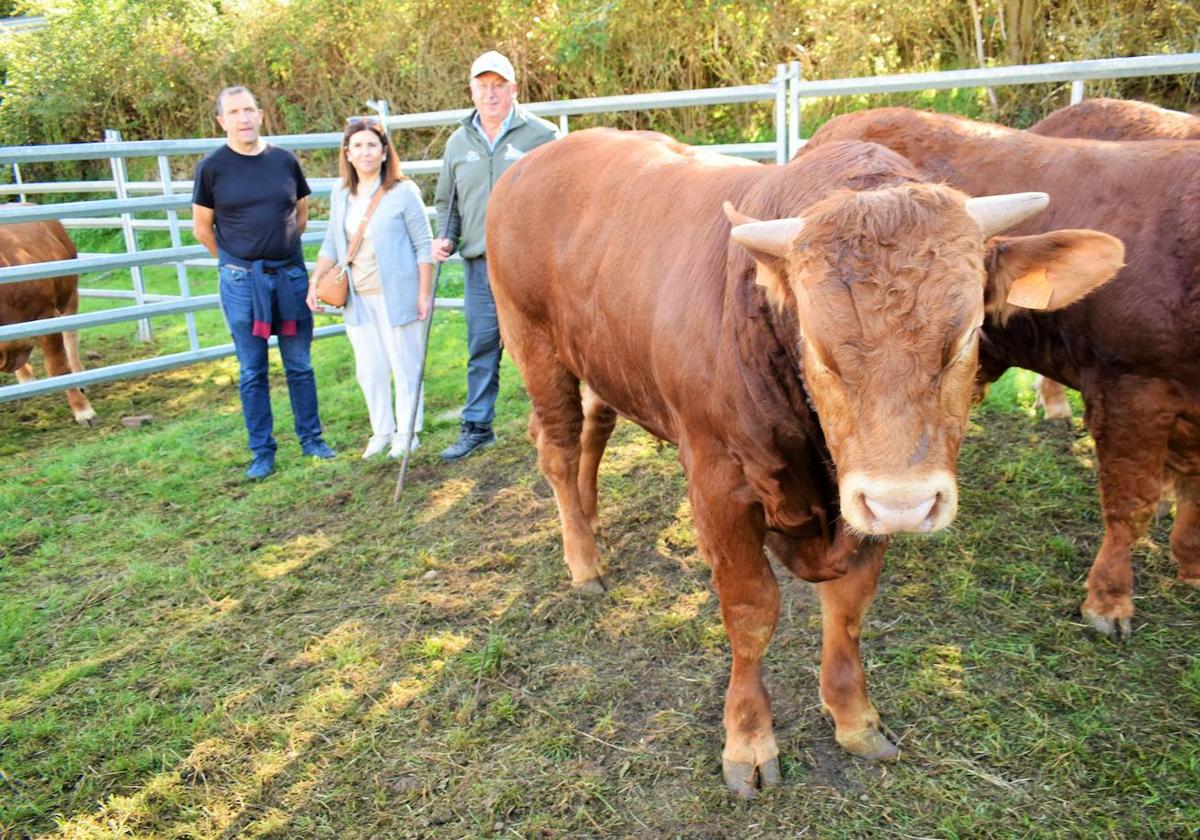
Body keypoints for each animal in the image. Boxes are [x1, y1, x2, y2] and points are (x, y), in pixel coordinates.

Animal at [482, 127, 1118, 796]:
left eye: (968, 333)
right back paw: (583, 561)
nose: (905, 503)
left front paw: (854, 717)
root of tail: (537, 160)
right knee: (557, 445)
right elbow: (751, 612)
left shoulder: (857, 505)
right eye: (816, 343)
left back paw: (592, 523)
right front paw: (748, 739)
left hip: (602, 359)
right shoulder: (719, 486)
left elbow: (849, 607)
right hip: (533, 343)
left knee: (593, 430)